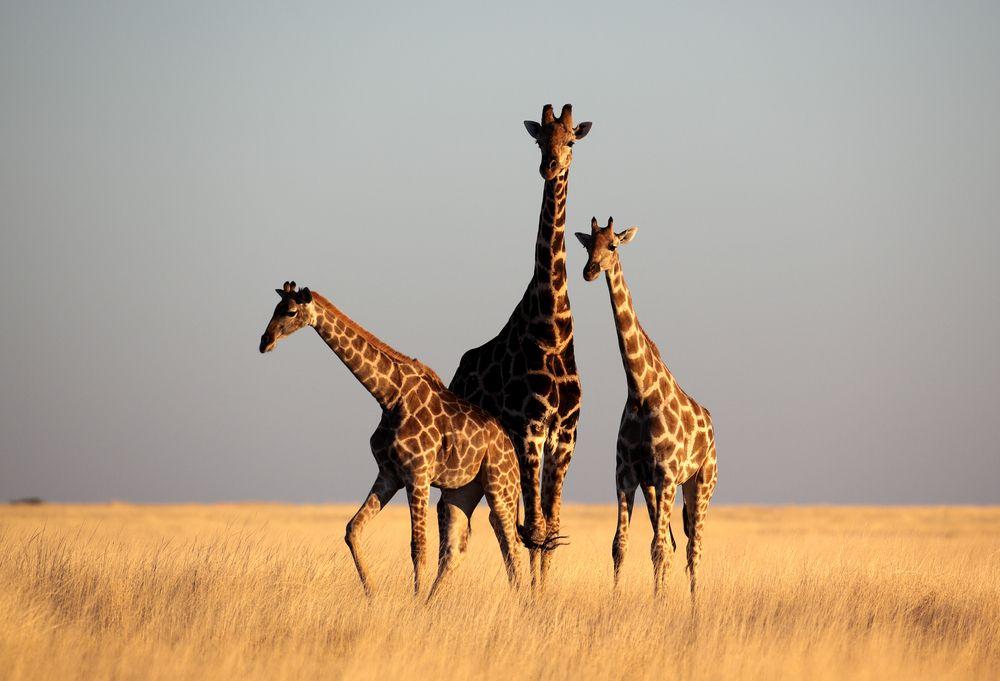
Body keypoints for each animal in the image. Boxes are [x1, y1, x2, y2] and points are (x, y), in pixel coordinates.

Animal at [258, 278, 524, 596]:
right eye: (274, 308)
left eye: (290, 311)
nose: (264, 341)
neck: (388, 396)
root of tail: (511, 448)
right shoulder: (389, 474)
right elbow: (352, 529)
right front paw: (372, 593)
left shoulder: (417, 475)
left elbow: (418, 547)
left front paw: (411, 601)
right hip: (462, 490)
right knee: (455, 551)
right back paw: (433, 602)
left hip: (500, 486)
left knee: (511, 545)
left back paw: (523, 603)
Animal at [448, 103, 588, 588]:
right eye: (539, 140)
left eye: (571, 140)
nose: (550, 167)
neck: (553, 330)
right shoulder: (530, 428)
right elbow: (537, 528)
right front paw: (533, 597)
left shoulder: (565, 434)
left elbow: (551, 527)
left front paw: (544, 594)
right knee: (498, 519)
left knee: (507, 520)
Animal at [572, 219, 720, 596]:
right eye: (588, 245)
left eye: (612, 245)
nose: (589, 271)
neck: (640, 391)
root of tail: (711, 427)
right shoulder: (626, 474)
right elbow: (620, 546)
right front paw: (620, 600)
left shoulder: (666, 474)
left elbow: (658, 548)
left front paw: (659, 604)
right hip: (656, 488)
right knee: (673, 544)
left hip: (701, 483)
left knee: (693, 547)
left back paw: (694, 603)